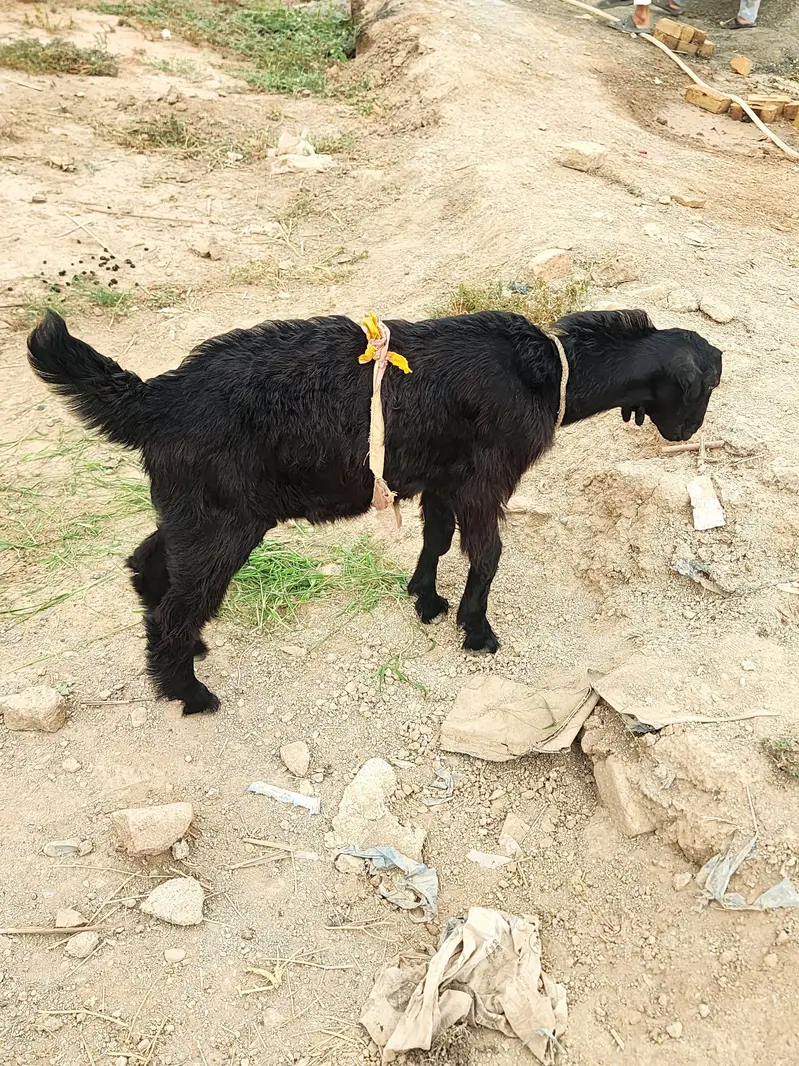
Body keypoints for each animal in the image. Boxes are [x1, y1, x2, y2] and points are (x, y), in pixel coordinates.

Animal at [27, 308, 722, 715]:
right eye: (703, 387)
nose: (687, 435)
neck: (548, 370)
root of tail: (158, 398)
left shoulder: (444, 478)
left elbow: (437, 539)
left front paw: (426, 600)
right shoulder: (485, 480)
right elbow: (487, 554)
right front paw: (476, 630)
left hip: (191, 509)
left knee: (148, 566)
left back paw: (188, 657)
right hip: (222, 523)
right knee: (176, 601)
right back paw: (190, 693)